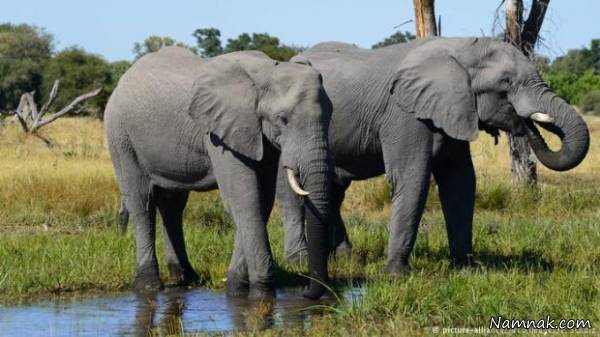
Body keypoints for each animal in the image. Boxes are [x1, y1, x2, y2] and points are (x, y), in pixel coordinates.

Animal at [106, 46, 336, 298]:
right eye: (282, 119)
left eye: (330, 116)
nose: (306, 291)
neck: (265, 72)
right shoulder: (219, 133)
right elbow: (244, 199)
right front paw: (261, 292)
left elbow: (262, 201)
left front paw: (236, 286)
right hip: (121, 136)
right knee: (141, 202)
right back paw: (149, 286)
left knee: (172, 205)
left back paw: (185, 277)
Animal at [278, 36, 592, 272]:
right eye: (505, 83)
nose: (527, 124)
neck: (462, 49)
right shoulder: (405, 115)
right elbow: (413, 180)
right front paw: (398, 274)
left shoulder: (455, 112)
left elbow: (461, 183)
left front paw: (467, 269)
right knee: (294, 191)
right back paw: (301, 262)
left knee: (334, 189)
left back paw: (346, 258)